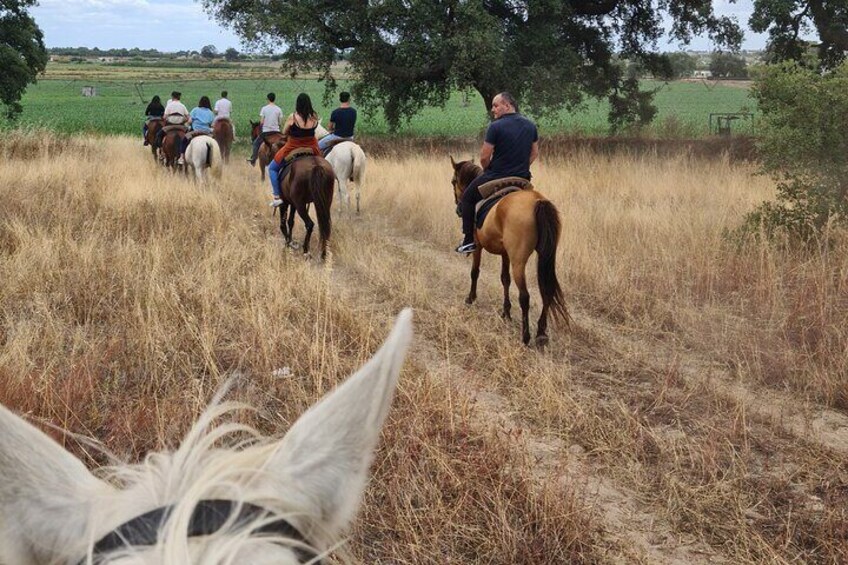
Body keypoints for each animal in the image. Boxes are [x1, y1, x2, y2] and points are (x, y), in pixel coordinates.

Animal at [450, 156, 568, 346]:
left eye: (453, 181)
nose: (458, 208)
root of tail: (537, 201)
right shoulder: (505, 253)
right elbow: (505, 279)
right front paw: (506, 312)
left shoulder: (478, 245)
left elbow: (475, 272)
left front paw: (471, 298)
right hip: (545, 255)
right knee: (546, 291)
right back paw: (541, 333)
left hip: (518, 261)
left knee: (525, 296)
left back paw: (526, 336)